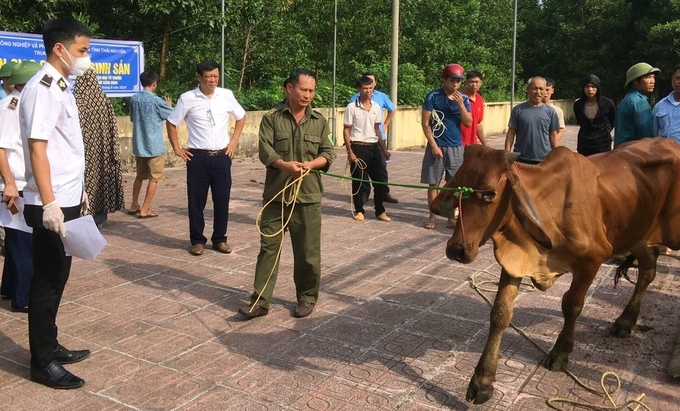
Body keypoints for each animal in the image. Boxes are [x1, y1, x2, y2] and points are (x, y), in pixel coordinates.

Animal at [430, 138, 680, 406]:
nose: (457, 250)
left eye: (489, 194)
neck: (552, 203)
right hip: (635, 234)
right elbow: (500, 314)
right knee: (648, 268)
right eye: (458, 191)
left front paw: (560, 353)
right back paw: (625, 321)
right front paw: (482, 381)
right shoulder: (515, 262)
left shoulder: (592, 260)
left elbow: (571, 306)